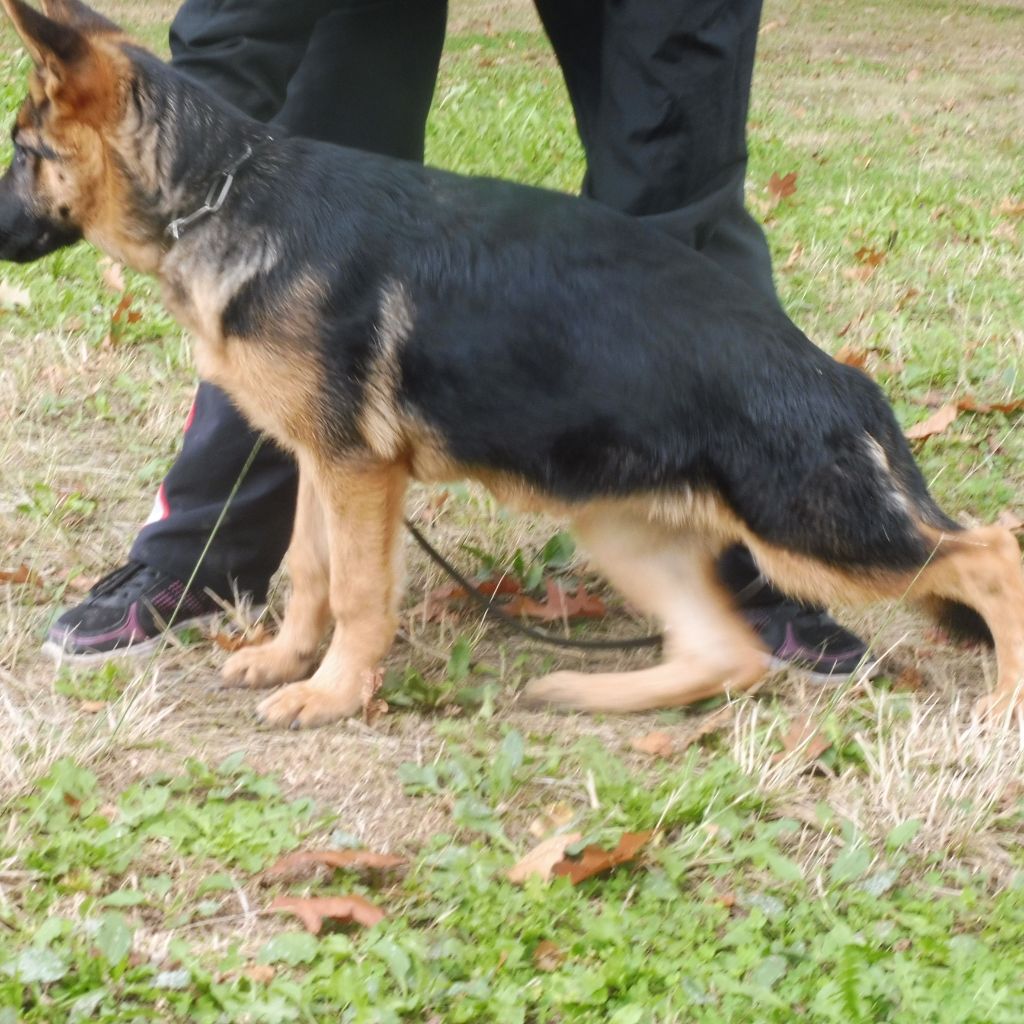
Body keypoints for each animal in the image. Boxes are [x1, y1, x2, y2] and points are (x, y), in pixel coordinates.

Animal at [2, 0, 1024, 729]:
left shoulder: (358, 473)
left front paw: (333, 695)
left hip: (809, 528)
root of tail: (841, 378)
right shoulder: (321, 465)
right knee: (723, 658)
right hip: (622, 524)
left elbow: (359, 593)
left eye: (24, 152)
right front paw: (295, 661)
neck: (221, 193)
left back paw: (1006, 705)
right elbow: (311, 574)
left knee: (991, 555)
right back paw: (585, 694)